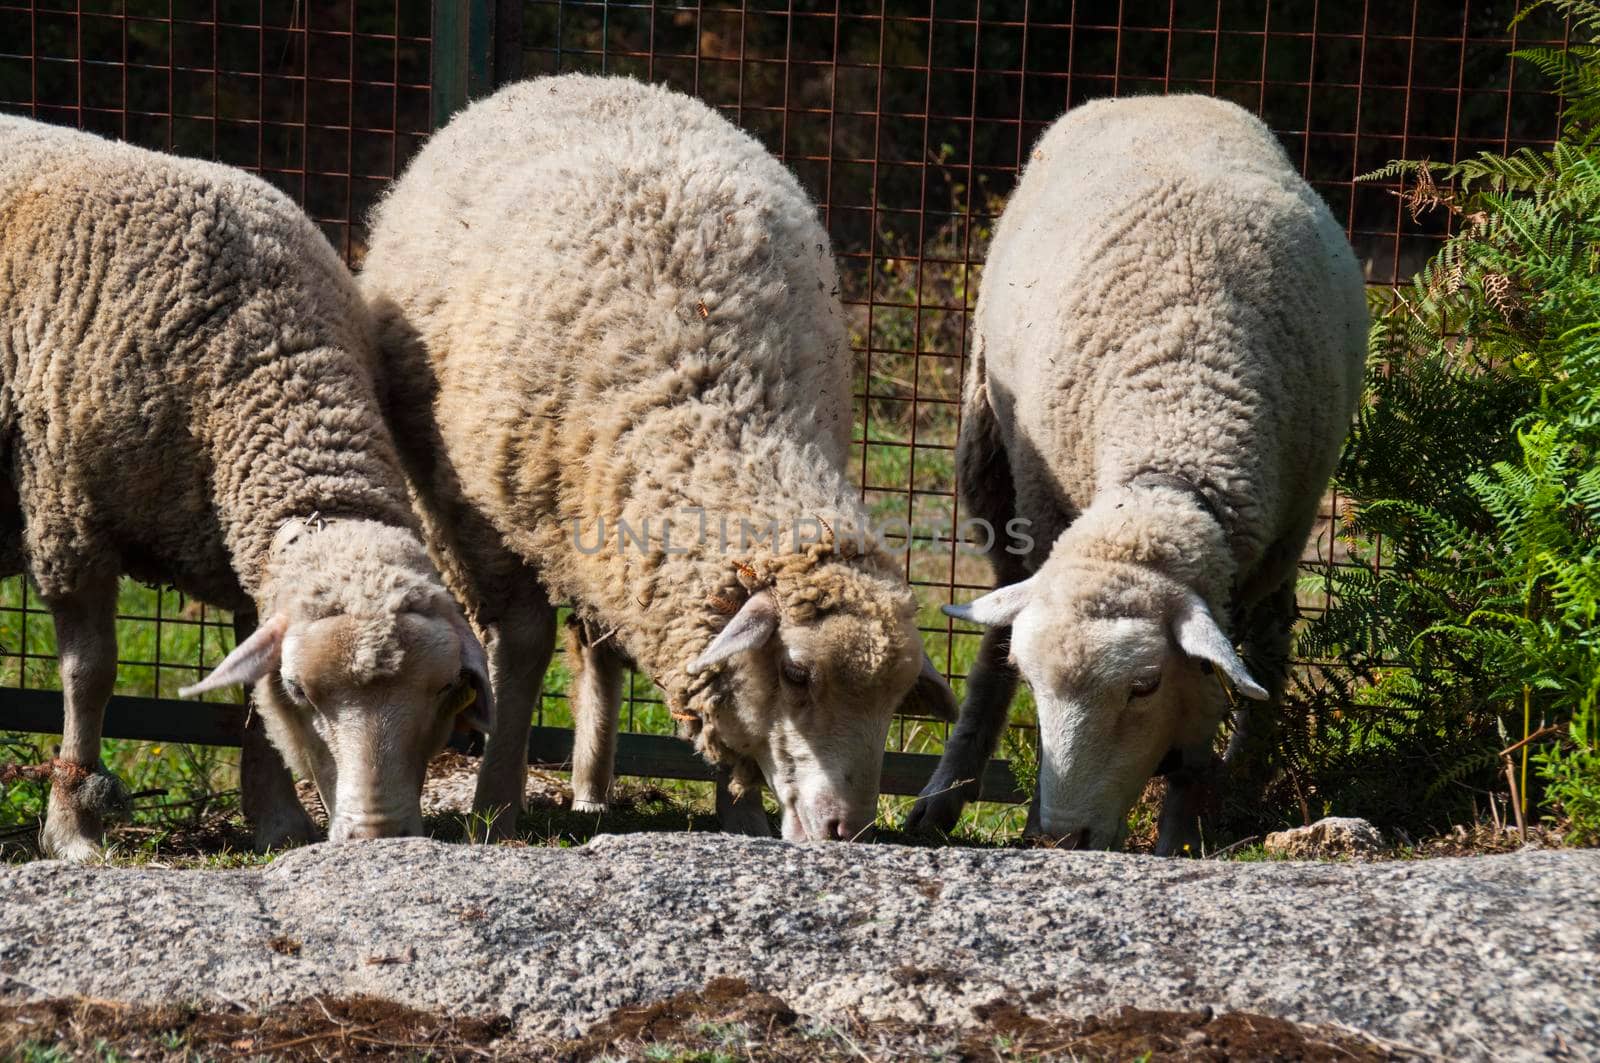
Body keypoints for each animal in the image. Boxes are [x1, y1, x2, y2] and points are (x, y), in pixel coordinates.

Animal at [0, 116, 492, 858]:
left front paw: (280, 823)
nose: (377, 839)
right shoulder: (66, 518)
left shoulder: (242, 559)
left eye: (446, 694)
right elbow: (90, 673)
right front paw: (73, 829)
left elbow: (253, 702)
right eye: (304, 691)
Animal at [358, 72, 953, 838]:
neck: (722, 407)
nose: (844, 830)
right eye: (796, 672)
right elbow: (522, 644)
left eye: (894, 698)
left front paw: (741, 816)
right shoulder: (475, 513)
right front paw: (495, 805)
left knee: (597, 646)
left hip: (597, 521)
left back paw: (591, 786)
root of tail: (582, 77)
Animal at [908, 97, 1369, 858]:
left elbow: (1214, 697)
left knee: (1274, 637)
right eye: (1038, 686)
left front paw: (1181, 829)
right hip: (992, 467)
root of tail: (1167, 96)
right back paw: (941, 797)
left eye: (1146, 685)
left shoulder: (1243, 565)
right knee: (993, 639)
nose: (1063, 835)